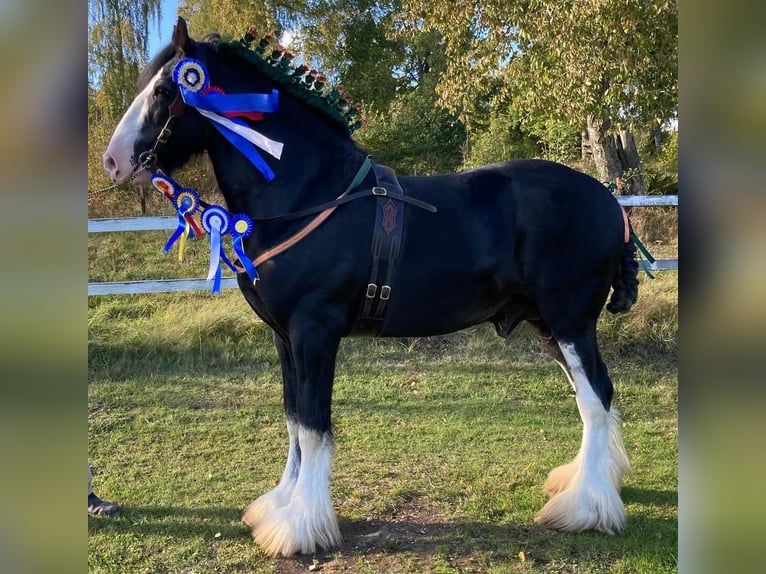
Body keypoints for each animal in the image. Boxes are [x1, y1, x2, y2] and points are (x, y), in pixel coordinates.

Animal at [103, 18, 640, 560]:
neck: (312, 194)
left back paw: (586, 508)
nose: (112, 161)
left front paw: (299, 526)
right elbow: (293, 419)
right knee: (592, 398)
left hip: (570, 321)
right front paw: (278, 507)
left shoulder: (314, 332)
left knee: (596, 397)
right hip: (545, 324)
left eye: (167, 89)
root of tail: (608, 201)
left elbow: (313, 426)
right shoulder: (284, 337)